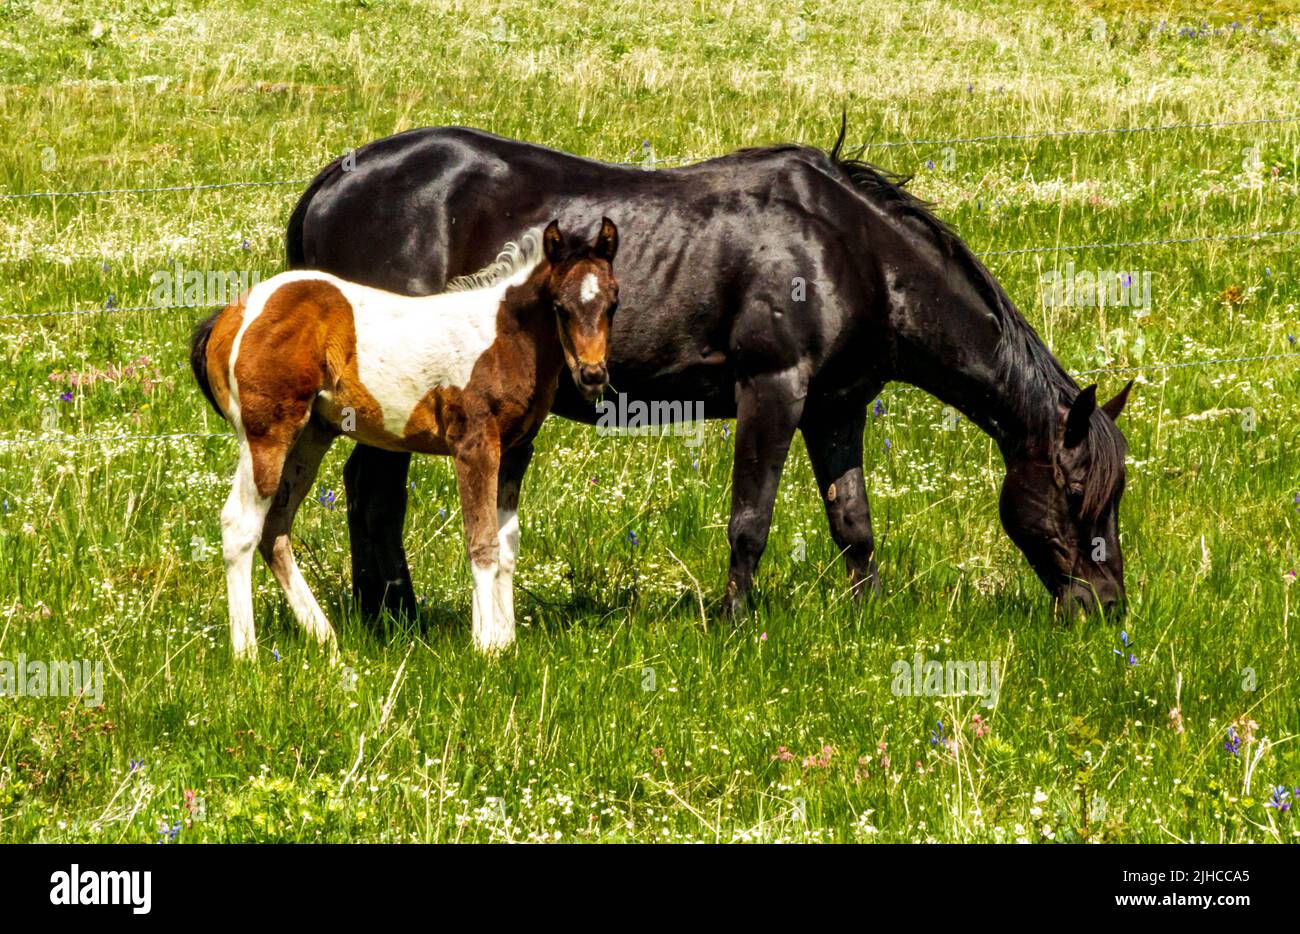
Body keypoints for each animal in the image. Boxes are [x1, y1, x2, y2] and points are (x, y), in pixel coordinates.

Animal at [189, 219, 621, 658]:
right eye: (559, 306)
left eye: (613, 303)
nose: (592, 374)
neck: (503, 336)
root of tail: (231, 314)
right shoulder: (474, 444)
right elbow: (482, 541)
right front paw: (485, 646)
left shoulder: (517, 451)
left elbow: (508, 545)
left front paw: (506, 641)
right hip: (266, 434)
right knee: (240, 524)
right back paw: (247, 651)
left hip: (310, 437)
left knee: (275, 525)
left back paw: (325, 637)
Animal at [282, 122, 1128, 621]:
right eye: (1077, 493)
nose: (1108, 606)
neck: (851, 251)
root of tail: (332, 182)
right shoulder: (773, 388)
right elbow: (750, 520)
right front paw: (734, 621)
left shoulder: (837, 408)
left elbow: (853, 523)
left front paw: (867, 615)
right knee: (373, 492)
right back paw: (393, 616)